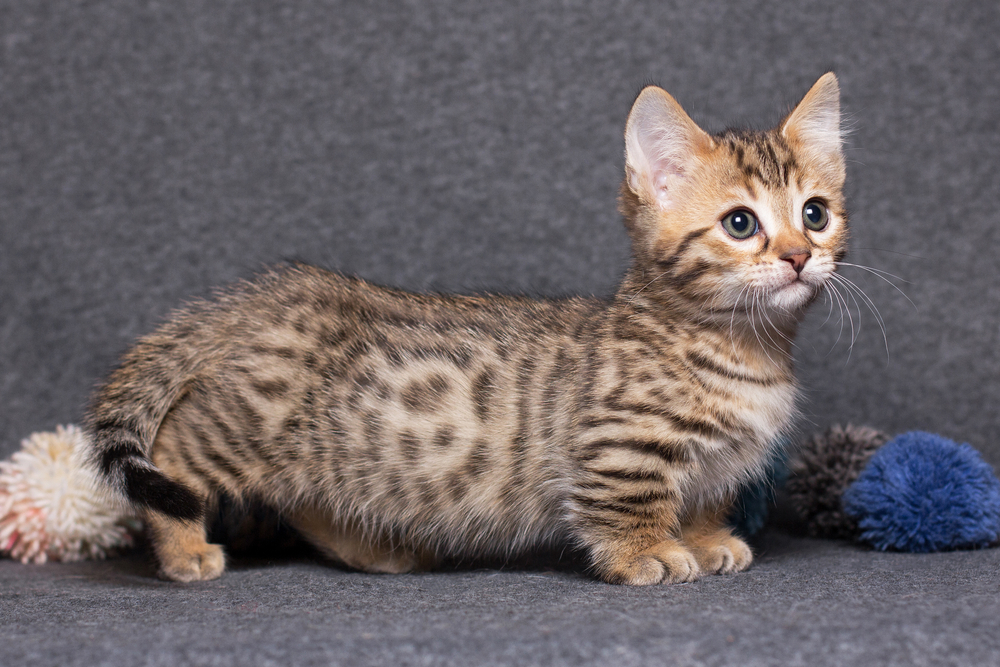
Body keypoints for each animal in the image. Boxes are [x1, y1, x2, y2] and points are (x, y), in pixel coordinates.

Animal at [86, 74, 848, 584]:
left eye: (814, 213)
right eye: (741, 223)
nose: (799, 256)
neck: (746, 348)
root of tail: (261, 296)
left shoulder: (719, 464)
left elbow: (705, 497)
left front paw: (707, 537)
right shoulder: (619, 446)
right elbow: (631, 505)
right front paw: (651, 552)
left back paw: (379, 550)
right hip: (245, 426)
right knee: (174, 455)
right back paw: (186, 549)